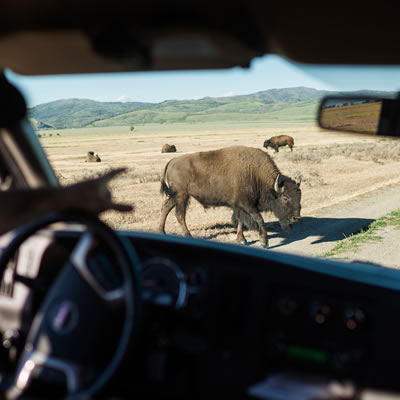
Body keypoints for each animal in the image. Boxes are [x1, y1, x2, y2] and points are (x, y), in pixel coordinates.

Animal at [158, 145, 302, 247]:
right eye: (285, 197)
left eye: (299, 196)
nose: (296, 218)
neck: (255, 174)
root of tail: (171, 161)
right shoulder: (247, 205)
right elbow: (259, 219)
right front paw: (264, 242)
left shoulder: (239, 206)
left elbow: (240, 221)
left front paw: (242, 240)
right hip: (182, 196)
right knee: (180, 215)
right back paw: (188, 236)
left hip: (176, 196)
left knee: (165, 208)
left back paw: (161, 232)